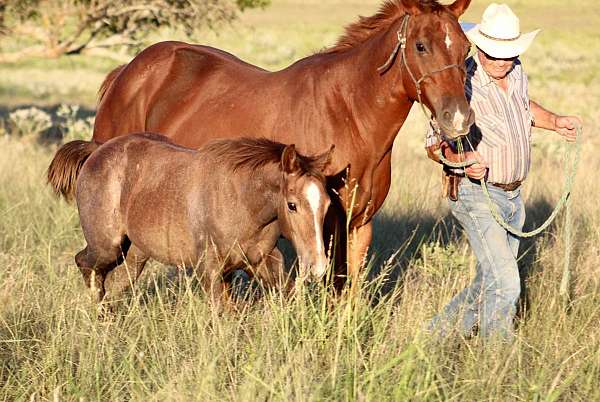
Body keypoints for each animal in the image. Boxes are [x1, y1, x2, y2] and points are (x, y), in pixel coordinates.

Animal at [48, 0, 474, 288]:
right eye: (421, 46)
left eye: (466, 49)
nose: (458, 119)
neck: (346, 112)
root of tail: (127, 72)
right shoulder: (320, 223)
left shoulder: (359, 225)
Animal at [74, 134, 332, 308]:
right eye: (292, 205)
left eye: (328, 203)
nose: (318, 267)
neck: (240, 201)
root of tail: (96, 150)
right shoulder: (209, 269)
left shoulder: (262, 261)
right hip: (108, 247)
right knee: (85, 265)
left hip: (137, 253)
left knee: (116, 283)